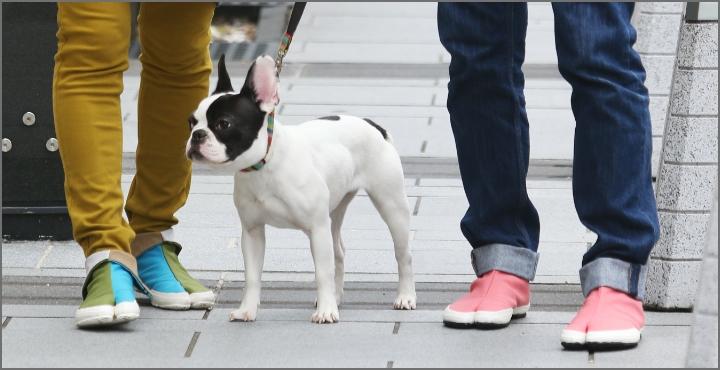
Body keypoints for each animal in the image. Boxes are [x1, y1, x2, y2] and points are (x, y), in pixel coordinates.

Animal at [186, 55, 416, 324]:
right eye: (191, 122)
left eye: (224, 123)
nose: (197, 135)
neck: (265, 163)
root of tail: (372, 125)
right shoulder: (253, 232)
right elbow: (252, 276)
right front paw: (247, 310)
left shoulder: (316, 228)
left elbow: (322, 273)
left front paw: (325, 311)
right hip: (334, 212)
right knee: (338, 252)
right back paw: (337, 297)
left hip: (391, 204)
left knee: (402, 254)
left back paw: (405, 297)